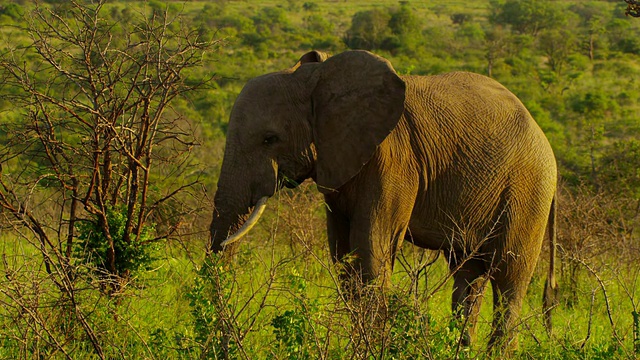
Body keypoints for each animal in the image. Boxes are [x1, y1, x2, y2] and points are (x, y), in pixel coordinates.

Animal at [209, 49, 556, 350]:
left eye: (270, 139)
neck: (318, 80)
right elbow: (343, 257)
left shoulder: (392, 159)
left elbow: (371, 250)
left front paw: (372, 347)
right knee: (468, 274)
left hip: (528, 190)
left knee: (509, 277)